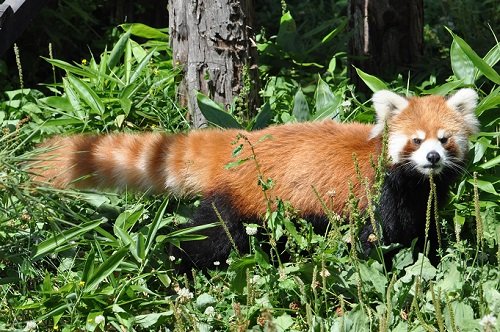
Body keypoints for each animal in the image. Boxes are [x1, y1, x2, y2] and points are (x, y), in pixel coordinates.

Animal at [31, 89, 480, 270]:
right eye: (416, 141)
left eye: (444, 139)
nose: (433, 158)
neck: (413, 182)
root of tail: (239, 143)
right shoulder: (376, 195)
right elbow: (377, 241)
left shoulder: (420, 199)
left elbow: (423, 232)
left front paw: (432, 260)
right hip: (242, 205)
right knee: (208, 241)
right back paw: (176, 270)